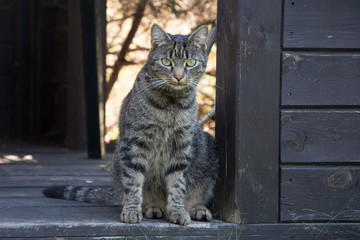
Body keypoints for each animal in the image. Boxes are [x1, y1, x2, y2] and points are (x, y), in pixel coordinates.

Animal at [42, 24, 218, 225]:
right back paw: (152, 208)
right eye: (166, 62)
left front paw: (178, 211)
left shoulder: (181, 147)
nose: (179, 76)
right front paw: (132, 210)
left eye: (190, 62)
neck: (171, 104)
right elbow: (133, 181)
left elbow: (177, 184)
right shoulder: (134, 143)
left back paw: (198, 209)